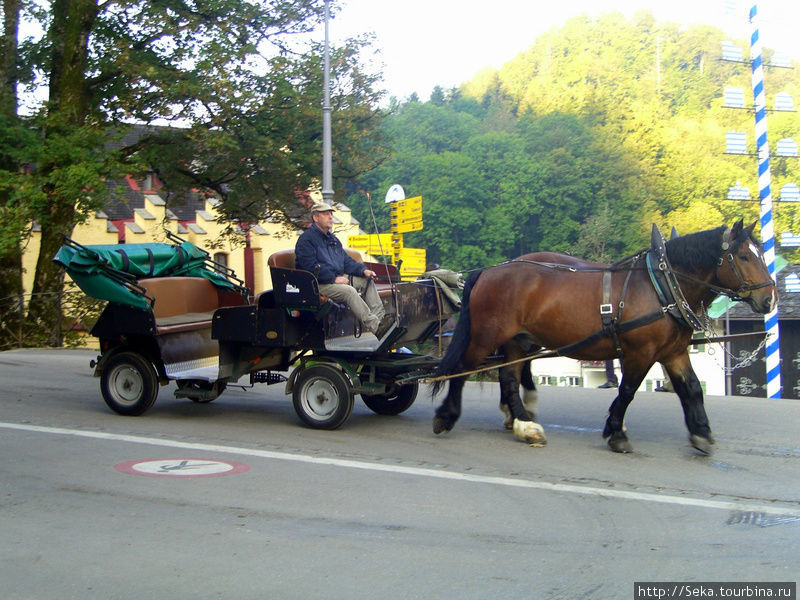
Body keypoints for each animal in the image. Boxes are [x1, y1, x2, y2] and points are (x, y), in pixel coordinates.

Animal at [434, 221, 780, 454]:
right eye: (745, 257)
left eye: (761, 254)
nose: (769, 300)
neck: (662, 286)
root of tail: (490, 270)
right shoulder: (642, 352)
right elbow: (627, 391)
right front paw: (617, 432)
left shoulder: (674, 352)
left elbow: (692, 389)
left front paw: (701, 434)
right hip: (486, 336)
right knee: (462, 371)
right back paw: (447, 416)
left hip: (518, 340)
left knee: (509, 378)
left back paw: (524, 424)